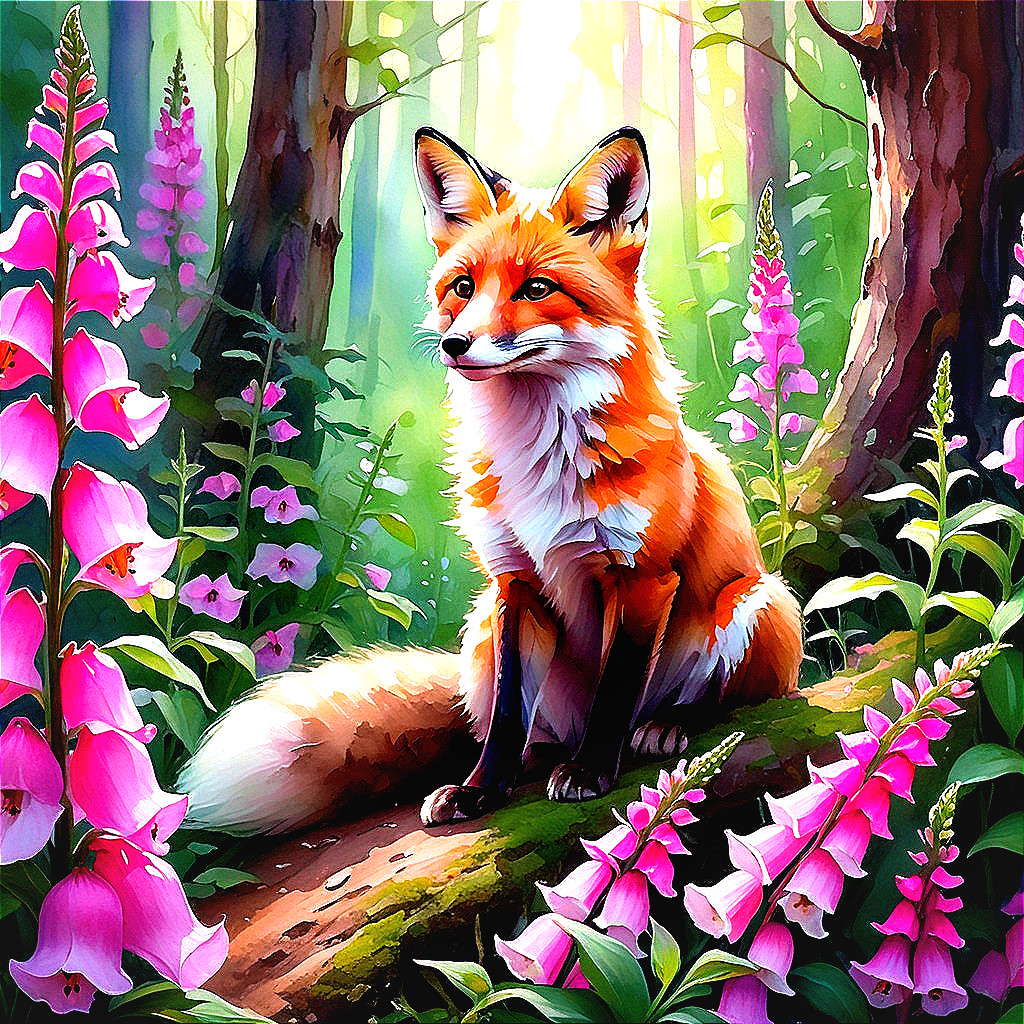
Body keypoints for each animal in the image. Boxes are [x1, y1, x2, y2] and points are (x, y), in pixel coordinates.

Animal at [178, 126, 802, 835]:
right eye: (462, 287)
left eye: (535, 289)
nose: (455, 344)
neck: (539, 456)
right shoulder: (514, 584)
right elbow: (506, 714)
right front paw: (481, 790)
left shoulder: (643, 576)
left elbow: (616, 691)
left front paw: (592, 773)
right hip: (480, 630)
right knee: (530, 729)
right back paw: (541, 759)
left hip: (757, 603)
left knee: (723, 700)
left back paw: (664, 728)